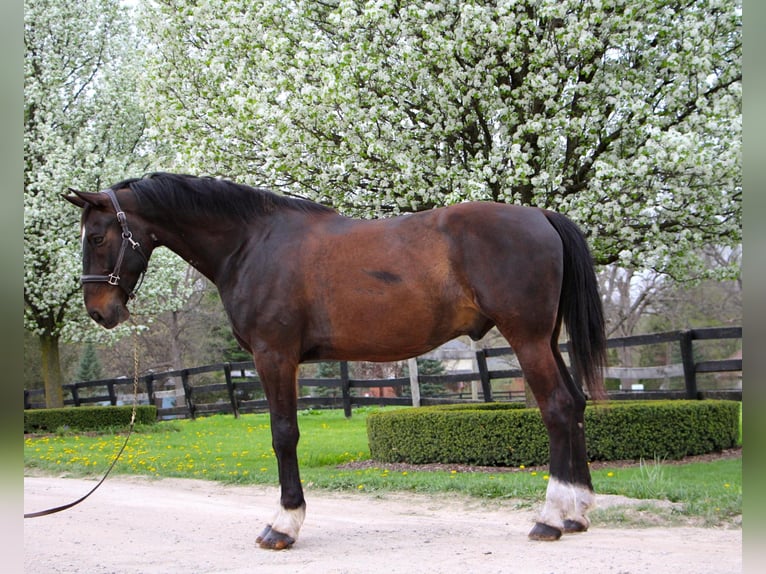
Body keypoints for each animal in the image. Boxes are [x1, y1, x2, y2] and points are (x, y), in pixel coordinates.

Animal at [64, 173, 608, 552]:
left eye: (97, 237)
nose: (99, 311)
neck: (251, 242)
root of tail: (541, 216)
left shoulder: (274, 356)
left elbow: (283, 434)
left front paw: (283, 525)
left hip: (528, 339)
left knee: (557, 408)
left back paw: (550, 519)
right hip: (546, 340)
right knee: (576, 404)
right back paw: (577, 513)